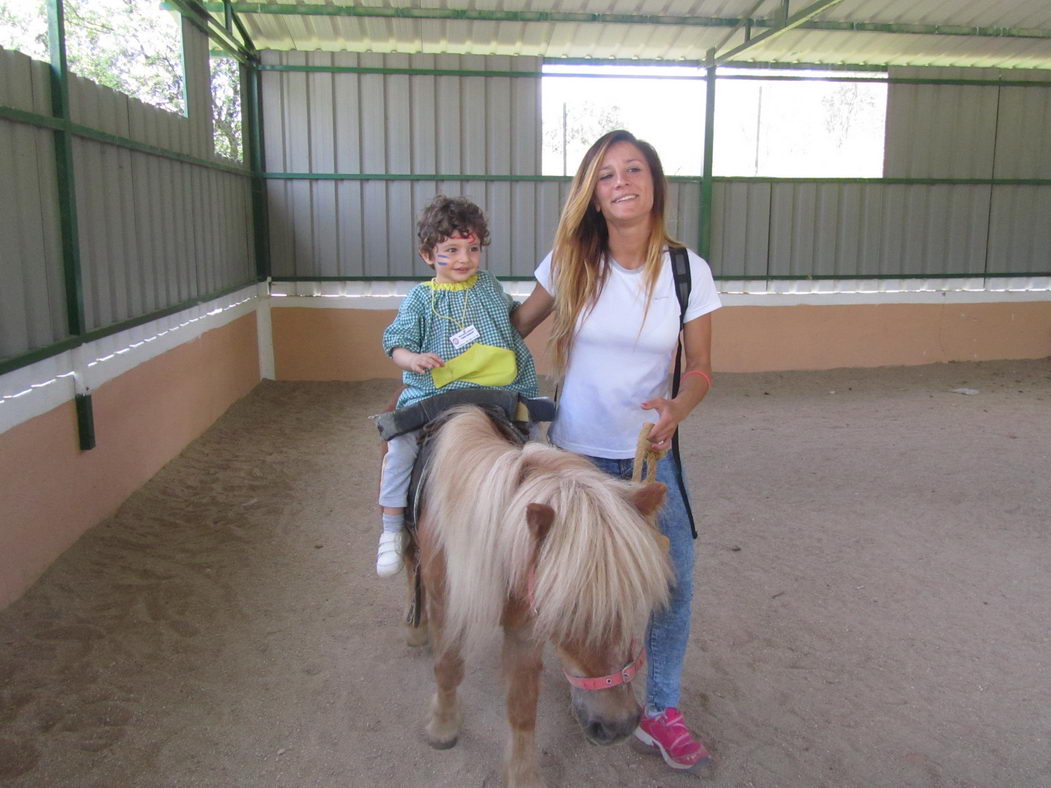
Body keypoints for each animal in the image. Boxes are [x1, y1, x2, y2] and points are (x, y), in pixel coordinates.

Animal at [405, 407, 668, 788]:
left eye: (634, 599)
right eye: (564, 610)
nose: (619, 724)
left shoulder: (524, 630)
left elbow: (523, 704)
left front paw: (523, 774)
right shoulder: (448, 608)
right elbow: (448, 668)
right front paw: (443, 727)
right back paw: (415, 629)